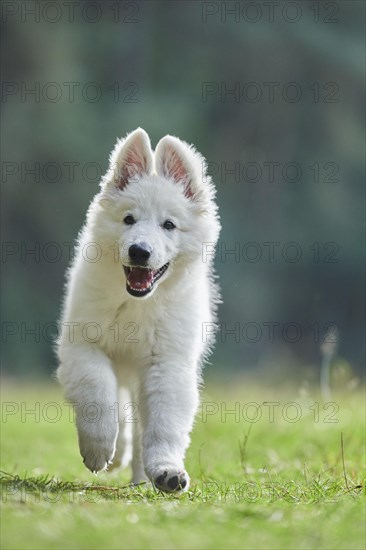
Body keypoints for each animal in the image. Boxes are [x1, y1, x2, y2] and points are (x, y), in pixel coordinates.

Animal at [57, 129, 220, 496]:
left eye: (169, 225)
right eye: (128, 219)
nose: (140, 251)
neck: (136, 303)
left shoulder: (167, 364)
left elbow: (163, 425)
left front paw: (166, 470)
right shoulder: (83, 346)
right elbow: (98, 392)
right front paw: (99, 449)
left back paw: (141, 476)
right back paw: (117, 455)